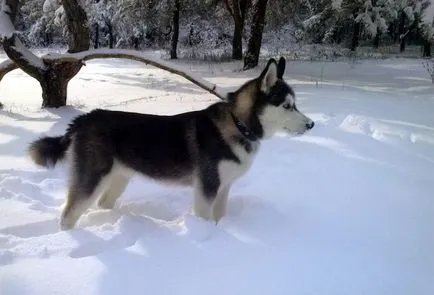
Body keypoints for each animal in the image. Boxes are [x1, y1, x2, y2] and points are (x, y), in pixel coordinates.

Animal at [27, 56, 314, 231]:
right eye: (287, 106)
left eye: (295, 104)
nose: (312, 124)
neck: (238, 124)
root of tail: (84, 118)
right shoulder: (206, 187)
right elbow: (204, 216)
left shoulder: (224, 187)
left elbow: (220, 215)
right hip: (92, 178)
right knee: (69, 214)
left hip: (118, 178)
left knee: (102, 203)